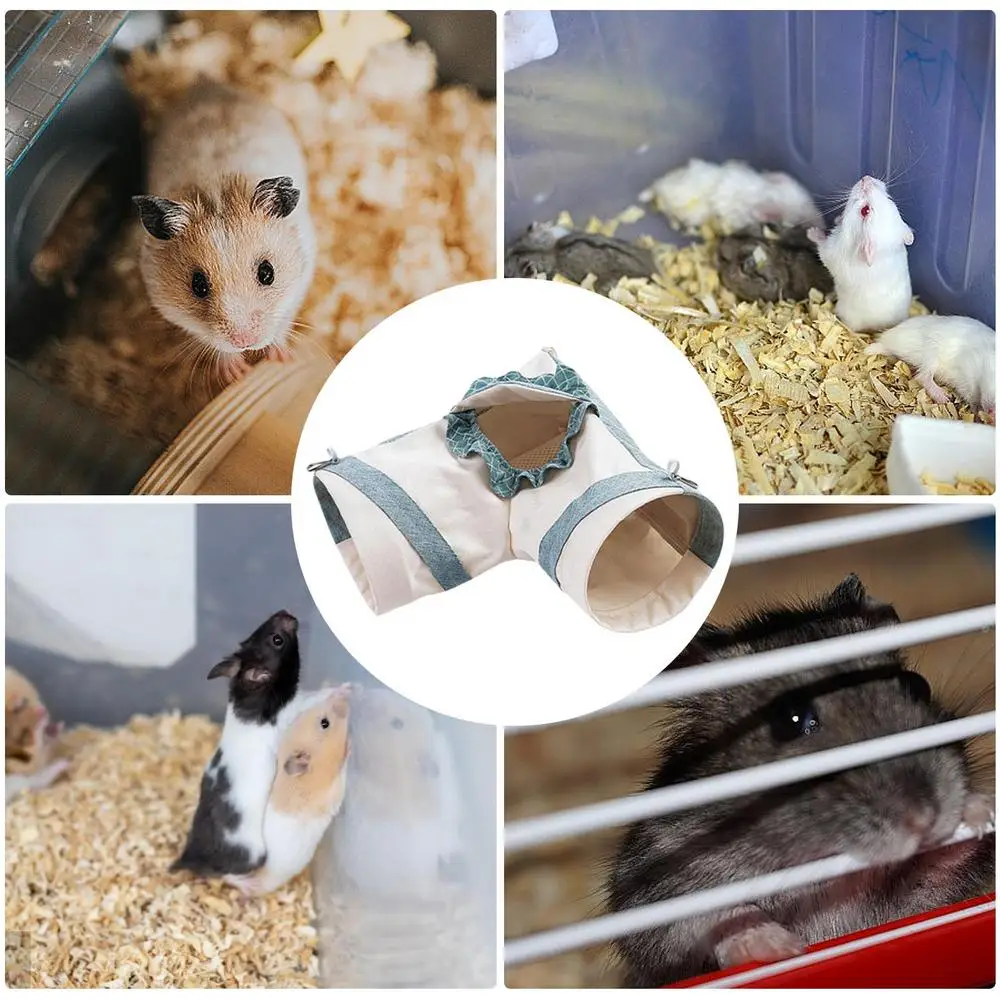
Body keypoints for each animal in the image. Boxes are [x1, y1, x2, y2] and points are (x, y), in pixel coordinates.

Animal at [133, 83, 317, 385]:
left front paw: (281, 358)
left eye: (268, 273)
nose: (244, 342)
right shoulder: (171, 308)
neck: (216, 194)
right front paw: (236, 374)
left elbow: (282, 324)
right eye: (198, 285)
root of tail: (208, 84)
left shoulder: (301, 280)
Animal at [171, 610, 332, 877]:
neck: (250, 694)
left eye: (252, 633)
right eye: (277, 640)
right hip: (253, 854)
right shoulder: (291, 713)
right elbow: (309, 700)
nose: (287, 613)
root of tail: (187, 856)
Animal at [605, 574, 995, 988]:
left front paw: (977, 811)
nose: (926, 818)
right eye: (790, 719)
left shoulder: (904, 909)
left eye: (917, 685)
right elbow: (705, 920)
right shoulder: (651, 890)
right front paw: (781, 948)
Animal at [807, 176, 914, 333]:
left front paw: (810, 231)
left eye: (865, 210)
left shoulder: (831, 252)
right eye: (889, 198)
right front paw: (838, 218)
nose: (865, 177)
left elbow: (821, 245)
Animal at [865, 314, 996, 418]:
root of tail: (886, 338)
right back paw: (943, 397)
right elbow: (971, 395)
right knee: (922, 377)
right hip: (931, 352)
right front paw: (977, 413)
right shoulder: (967, 371)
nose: (992, 414)